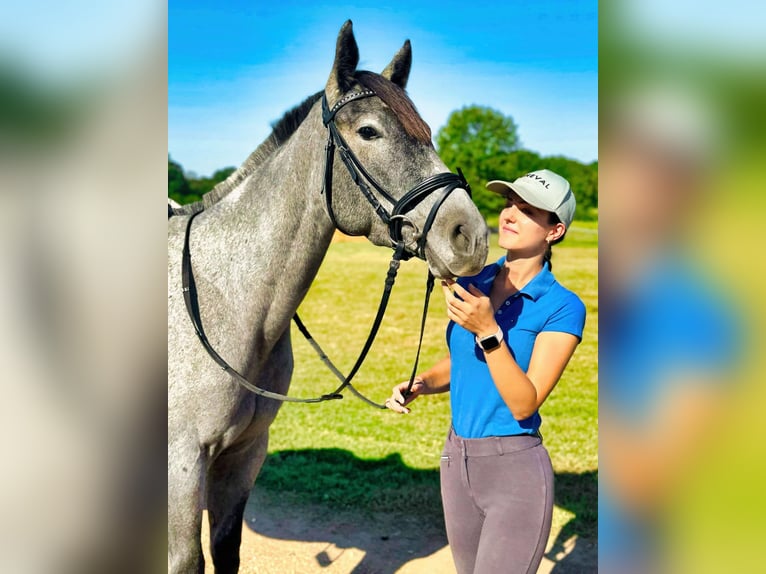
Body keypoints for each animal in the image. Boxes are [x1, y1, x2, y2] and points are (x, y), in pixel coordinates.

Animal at [168, 20, 489, 573]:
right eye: (369, 132)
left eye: (428, 132)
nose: (470, 236)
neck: (220, 302)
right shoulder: (182, 465)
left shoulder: (243, 454)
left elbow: (226, 550)